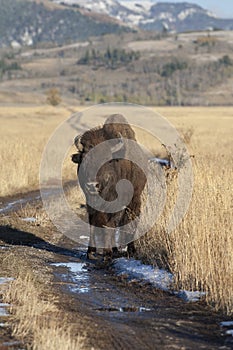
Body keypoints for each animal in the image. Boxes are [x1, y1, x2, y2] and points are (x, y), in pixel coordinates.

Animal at [72, 113, 147, 258]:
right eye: (84, 158)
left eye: (107, 160)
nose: (92, 185)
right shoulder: (90, 203)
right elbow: (93, 223)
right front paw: (91, 252)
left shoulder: (116, 204)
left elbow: (110, 225)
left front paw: (107, 253)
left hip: (135, 199)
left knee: (131, 221)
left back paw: (130, 250)